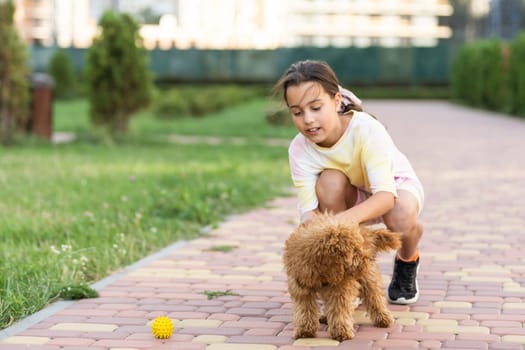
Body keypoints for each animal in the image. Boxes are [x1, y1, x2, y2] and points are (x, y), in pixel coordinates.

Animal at [282, 212, 402, 340]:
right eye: (354, 251)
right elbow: (305, 309)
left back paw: (383, 318)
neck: (322, 272)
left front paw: (341, 331)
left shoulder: (340, 287)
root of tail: (364, 232)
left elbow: (338, 309)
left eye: (359, 248)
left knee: (374, 297)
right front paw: (305, 330)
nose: (369, 258)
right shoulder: (301, 287)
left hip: (367, 277)